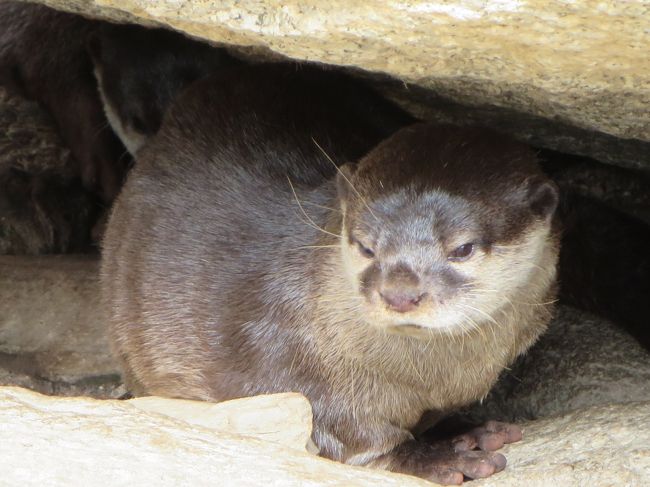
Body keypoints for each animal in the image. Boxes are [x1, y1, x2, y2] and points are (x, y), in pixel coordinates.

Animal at [102, 63, 556, 484]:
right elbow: (339, 426)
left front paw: (460, 429)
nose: (399, 294)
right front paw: (433, 457)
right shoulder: (279, 346)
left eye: (462, 248)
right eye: (365, 245)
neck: (429, 377)